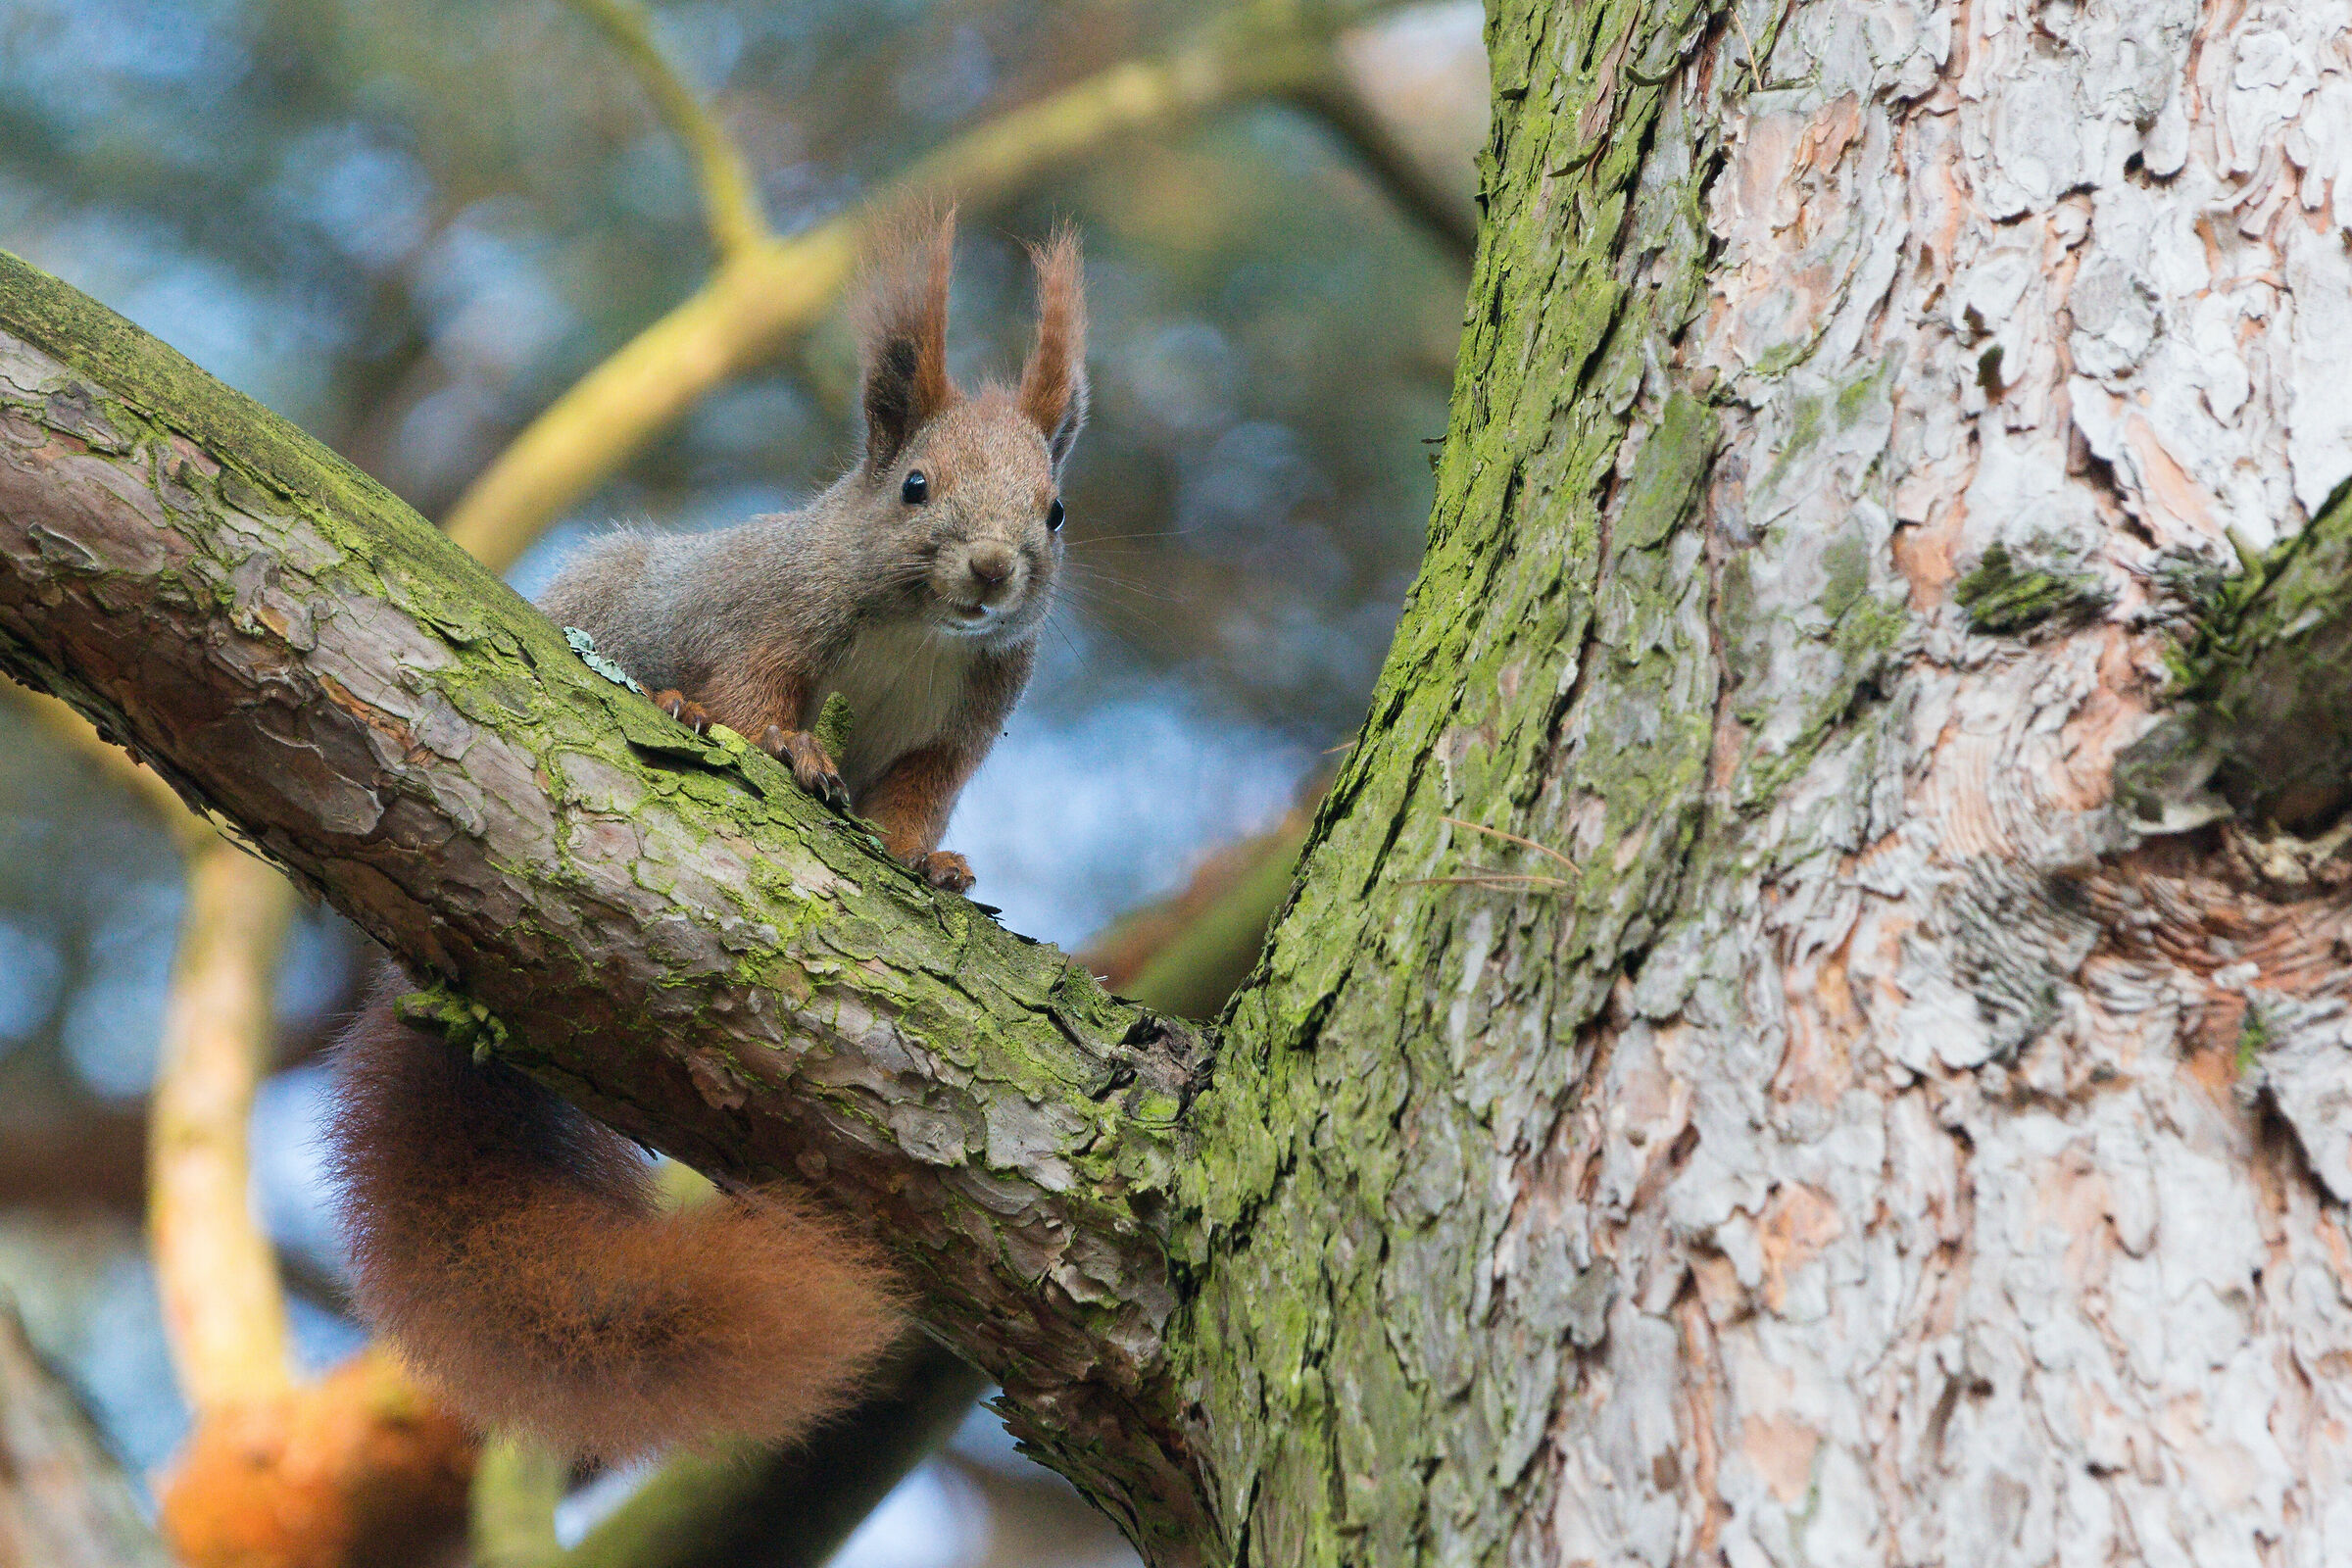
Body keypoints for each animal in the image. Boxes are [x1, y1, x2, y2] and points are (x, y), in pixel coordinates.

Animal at [326, 211, 1086, 1461]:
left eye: (1056, 509)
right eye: (916, 486)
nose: (991, 572)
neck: (922, 628)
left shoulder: (964, 722)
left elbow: (918, 799)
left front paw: (929, 858)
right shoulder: (758, 618)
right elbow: (751, 694)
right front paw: (788, 751)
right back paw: (671, 706)